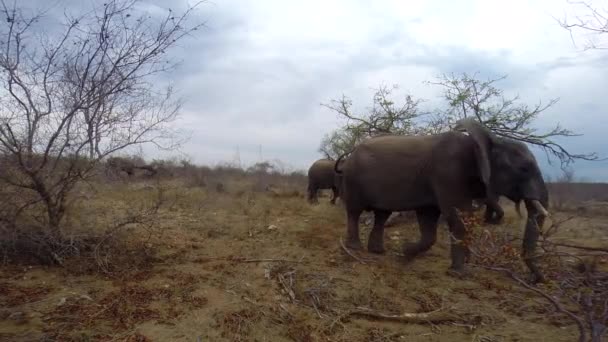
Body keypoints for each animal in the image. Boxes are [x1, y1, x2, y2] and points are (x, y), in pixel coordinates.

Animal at [334, 119, 548, 282]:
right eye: (524, 169)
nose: (534, 280)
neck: (486, 143)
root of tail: (351, 153)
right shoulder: (449, 172)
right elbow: (456, 216)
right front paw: (459, 273)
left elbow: (429, 219)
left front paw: (405, 253)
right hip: (353, 178)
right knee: (355, 211)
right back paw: (355, 248)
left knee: (382, 214)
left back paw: (378, 252)